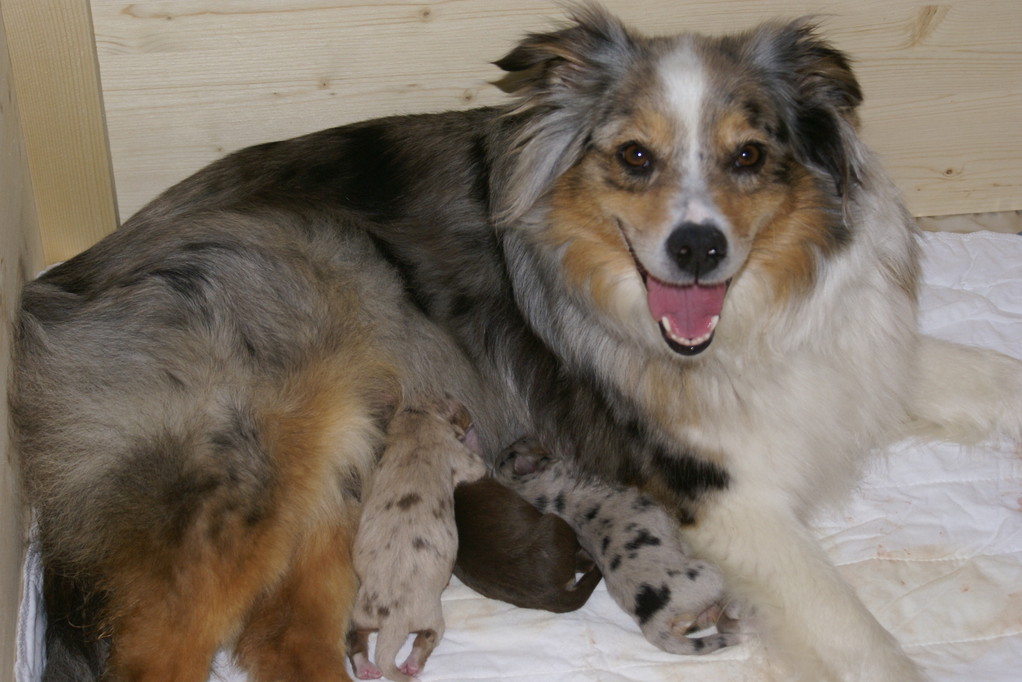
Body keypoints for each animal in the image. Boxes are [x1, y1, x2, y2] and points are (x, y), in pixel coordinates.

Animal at [347, 396, 486, 682]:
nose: (470, 420)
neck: (416, 428)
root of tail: (392, 620)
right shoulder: (460, 456)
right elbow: (478, 466)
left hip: (360, 613)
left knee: (355, 640)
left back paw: (366, 667)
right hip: (431, 617)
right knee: (426, 638)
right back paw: (411, 664)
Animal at [492, 437, 735, 654]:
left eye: (512, 446)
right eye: (519, 445)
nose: (526, 435)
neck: (538, 492)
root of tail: (652, 622)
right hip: (710, 573)